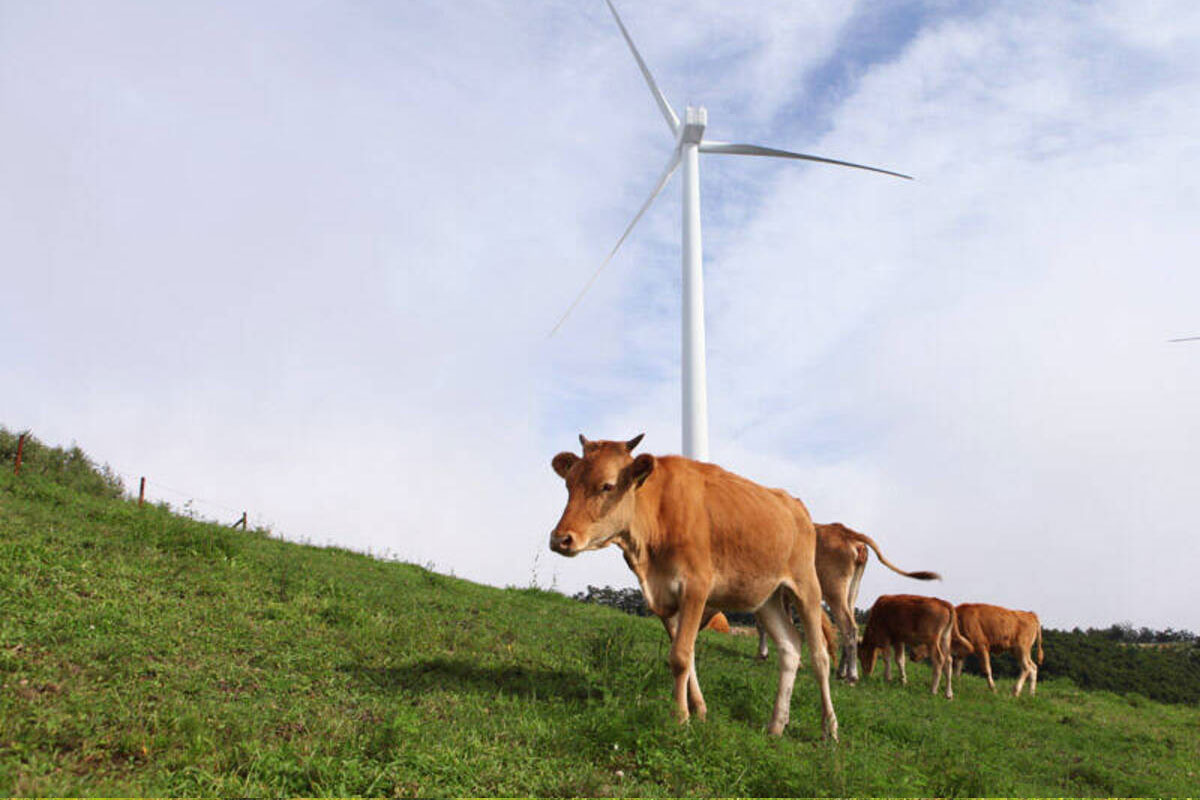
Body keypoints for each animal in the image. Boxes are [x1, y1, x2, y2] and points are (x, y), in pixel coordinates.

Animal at [549, 434, 835, 743]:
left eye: (607, 486)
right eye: (568, 485)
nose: (560, 539)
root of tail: (796, 505)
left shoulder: (696, 587)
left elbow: (679, 656)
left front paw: (680, 719)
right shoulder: (663, 599)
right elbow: (687, 655)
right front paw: (697, 709)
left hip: (806, 586)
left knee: (820, 656)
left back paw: (829, 728)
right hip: (766, 598)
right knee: (790, 647)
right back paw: (776, 724)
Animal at [753, 522, 940, 686]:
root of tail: (847, 532)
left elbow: (763, 624)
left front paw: (762, 654)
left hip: (834, 589)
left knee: (849, 627)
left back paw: (852, 676)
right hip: (851, 592)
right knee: (849, 629)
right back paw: (842, 672)